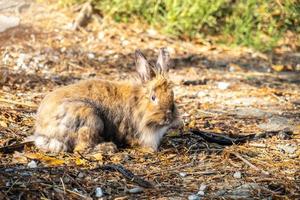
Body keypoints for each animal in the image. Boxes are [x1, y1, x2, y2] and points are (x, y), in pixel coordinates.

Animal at [28, 48, 179, 153]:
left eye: (172, 95)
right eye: (153, 97)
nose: (168, 117)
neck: (138, 103)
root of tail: (43, 131)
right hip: (91, 119)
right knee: (81, 148)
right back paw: (109, 147)